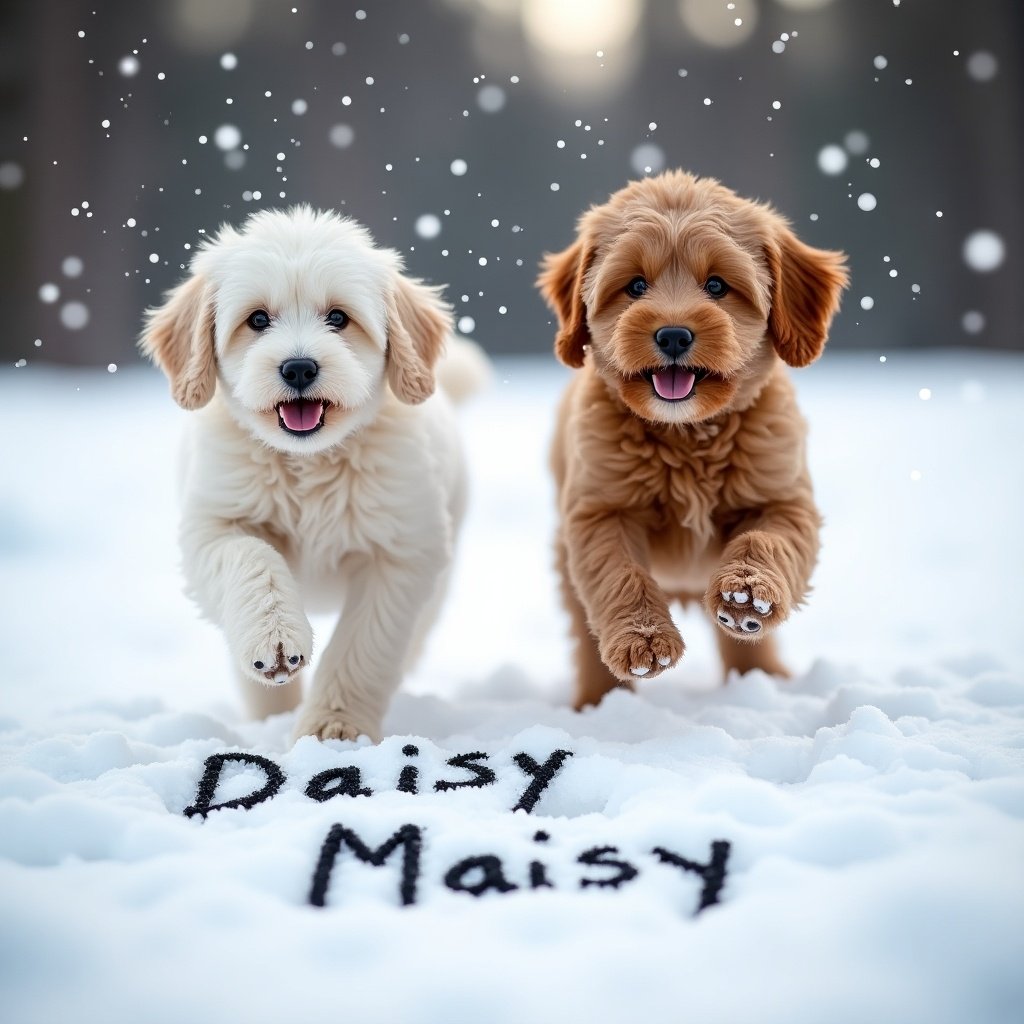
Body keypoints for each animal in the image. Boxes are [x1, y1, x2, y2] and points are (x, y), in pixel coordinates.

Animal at [139, 203, 483, 741]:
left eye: (338, 317)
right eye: (257, 319)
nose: (298, 368)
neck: (309, 463)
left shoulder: (400, 554)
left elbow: (362, 646)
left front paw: (332, 728)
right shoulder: (213, 525)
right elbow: (252, 561)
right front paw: (276, 643)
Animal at [536, 169, 847, 712]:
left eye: (717, 284)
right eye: (635, 285)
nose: (674, 335)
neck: (687, 436)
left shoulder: (784, 498)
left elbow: (766, 540)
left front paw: (746, 592)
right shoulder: (600, 513)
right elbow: (621, 575)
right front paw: (644, 640)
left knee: (743, 641)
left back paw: (761, 679)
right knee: (586, 633)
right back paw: (600, 704)